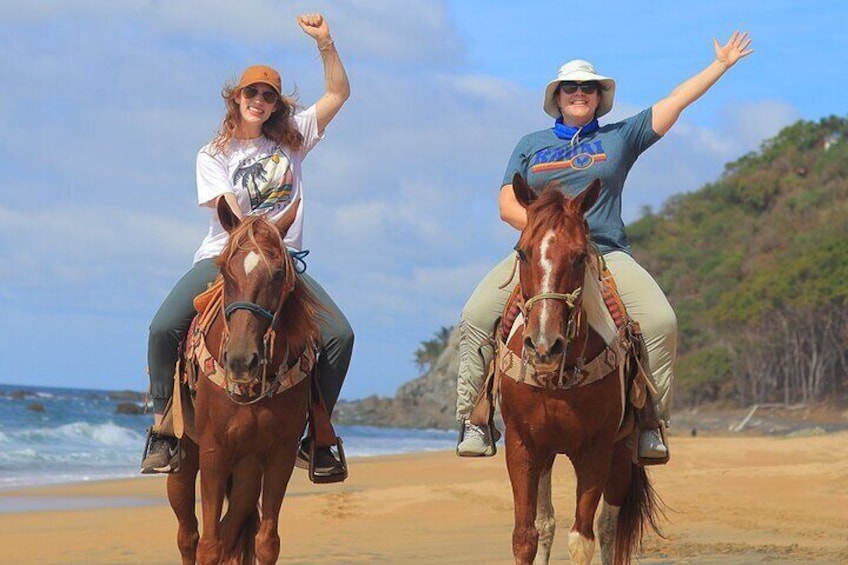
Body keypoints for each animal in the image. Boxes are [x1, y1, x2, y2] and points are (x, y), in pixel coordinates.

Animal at [167, 196, 322, 560]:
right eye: (225, 270)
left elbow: (265, 542)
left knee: (232, 526)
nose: (240, 360)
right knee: (188, 536)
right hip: (184, 457)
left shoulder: (279, 453)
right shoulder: (214, 451)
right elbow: (209, 546)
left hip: (248, 470)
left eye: (278, 274)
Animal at [500, 173, 660, 564]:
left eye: (578, 256)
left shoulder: (596, 449)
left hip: (622, 452)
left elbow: (582, 539)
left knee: (608, 527)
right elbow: (526, 536)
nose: (544, 344)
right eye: (522, 252)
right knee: (546, 523)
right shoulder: (522, 444)